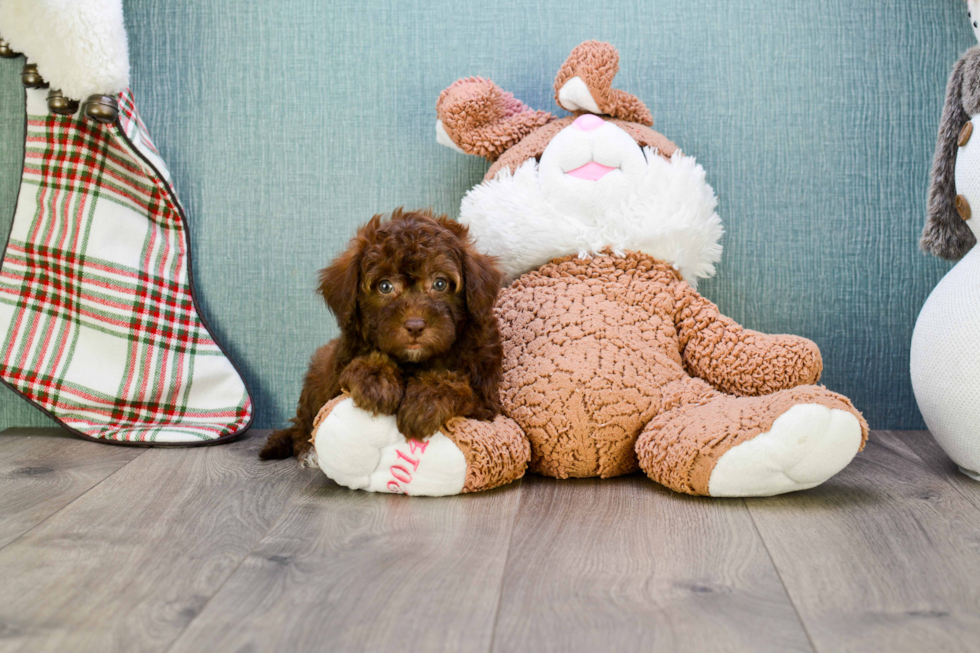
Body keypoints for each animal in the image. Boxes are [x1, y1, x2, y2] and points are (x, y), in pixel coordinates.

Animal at [258, 209, 502, 464]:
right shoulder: (339, 376)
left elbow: (457, 384)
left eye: (440, 283)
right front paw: (376, 379)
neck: (413, 362)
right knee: (301, 431)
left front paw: (425, 403)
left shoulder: (486, 398)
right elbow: (363, 364)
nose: (415, 326)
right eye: (385, 286)